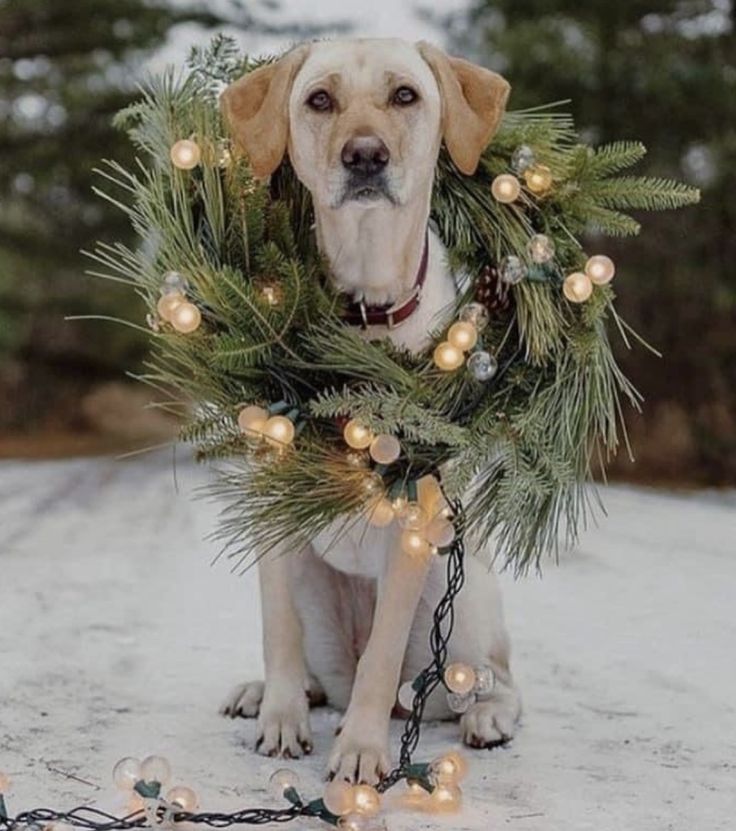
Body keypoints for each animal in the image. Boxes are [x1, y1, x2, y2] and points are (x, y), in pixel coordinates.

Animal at [220, 39, 524, 788]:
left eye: (405, 96)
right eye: (319, 99)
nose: (364, 155)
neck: (362, 319)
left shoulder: (414, 519)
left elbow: (381, 664)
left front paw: (359, 751)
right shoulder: (274, 504)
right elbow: (277, 632)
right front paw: (280, 717)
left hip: (461, 593)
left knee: (487, 679)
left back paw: (486, 716)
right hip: (310, 575)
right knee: (318, 667)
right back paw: (268, 692)